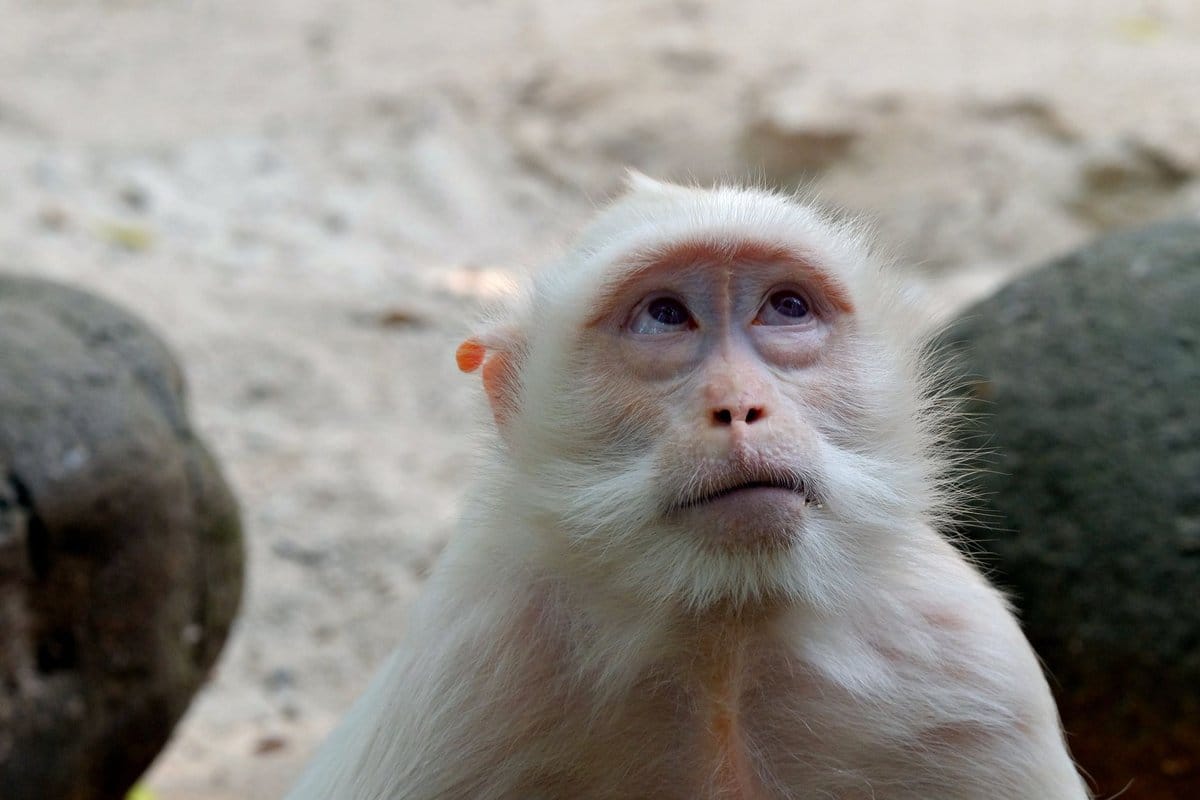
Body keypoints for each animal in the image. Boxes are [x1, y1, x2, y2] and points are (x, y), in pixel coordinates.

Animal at [287, 175, 1090, 800]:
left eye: (786, 308)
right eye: (665, 315)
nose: (738, 406)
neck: (724, 648)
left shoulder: (973, 677)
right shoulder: (467, 678)